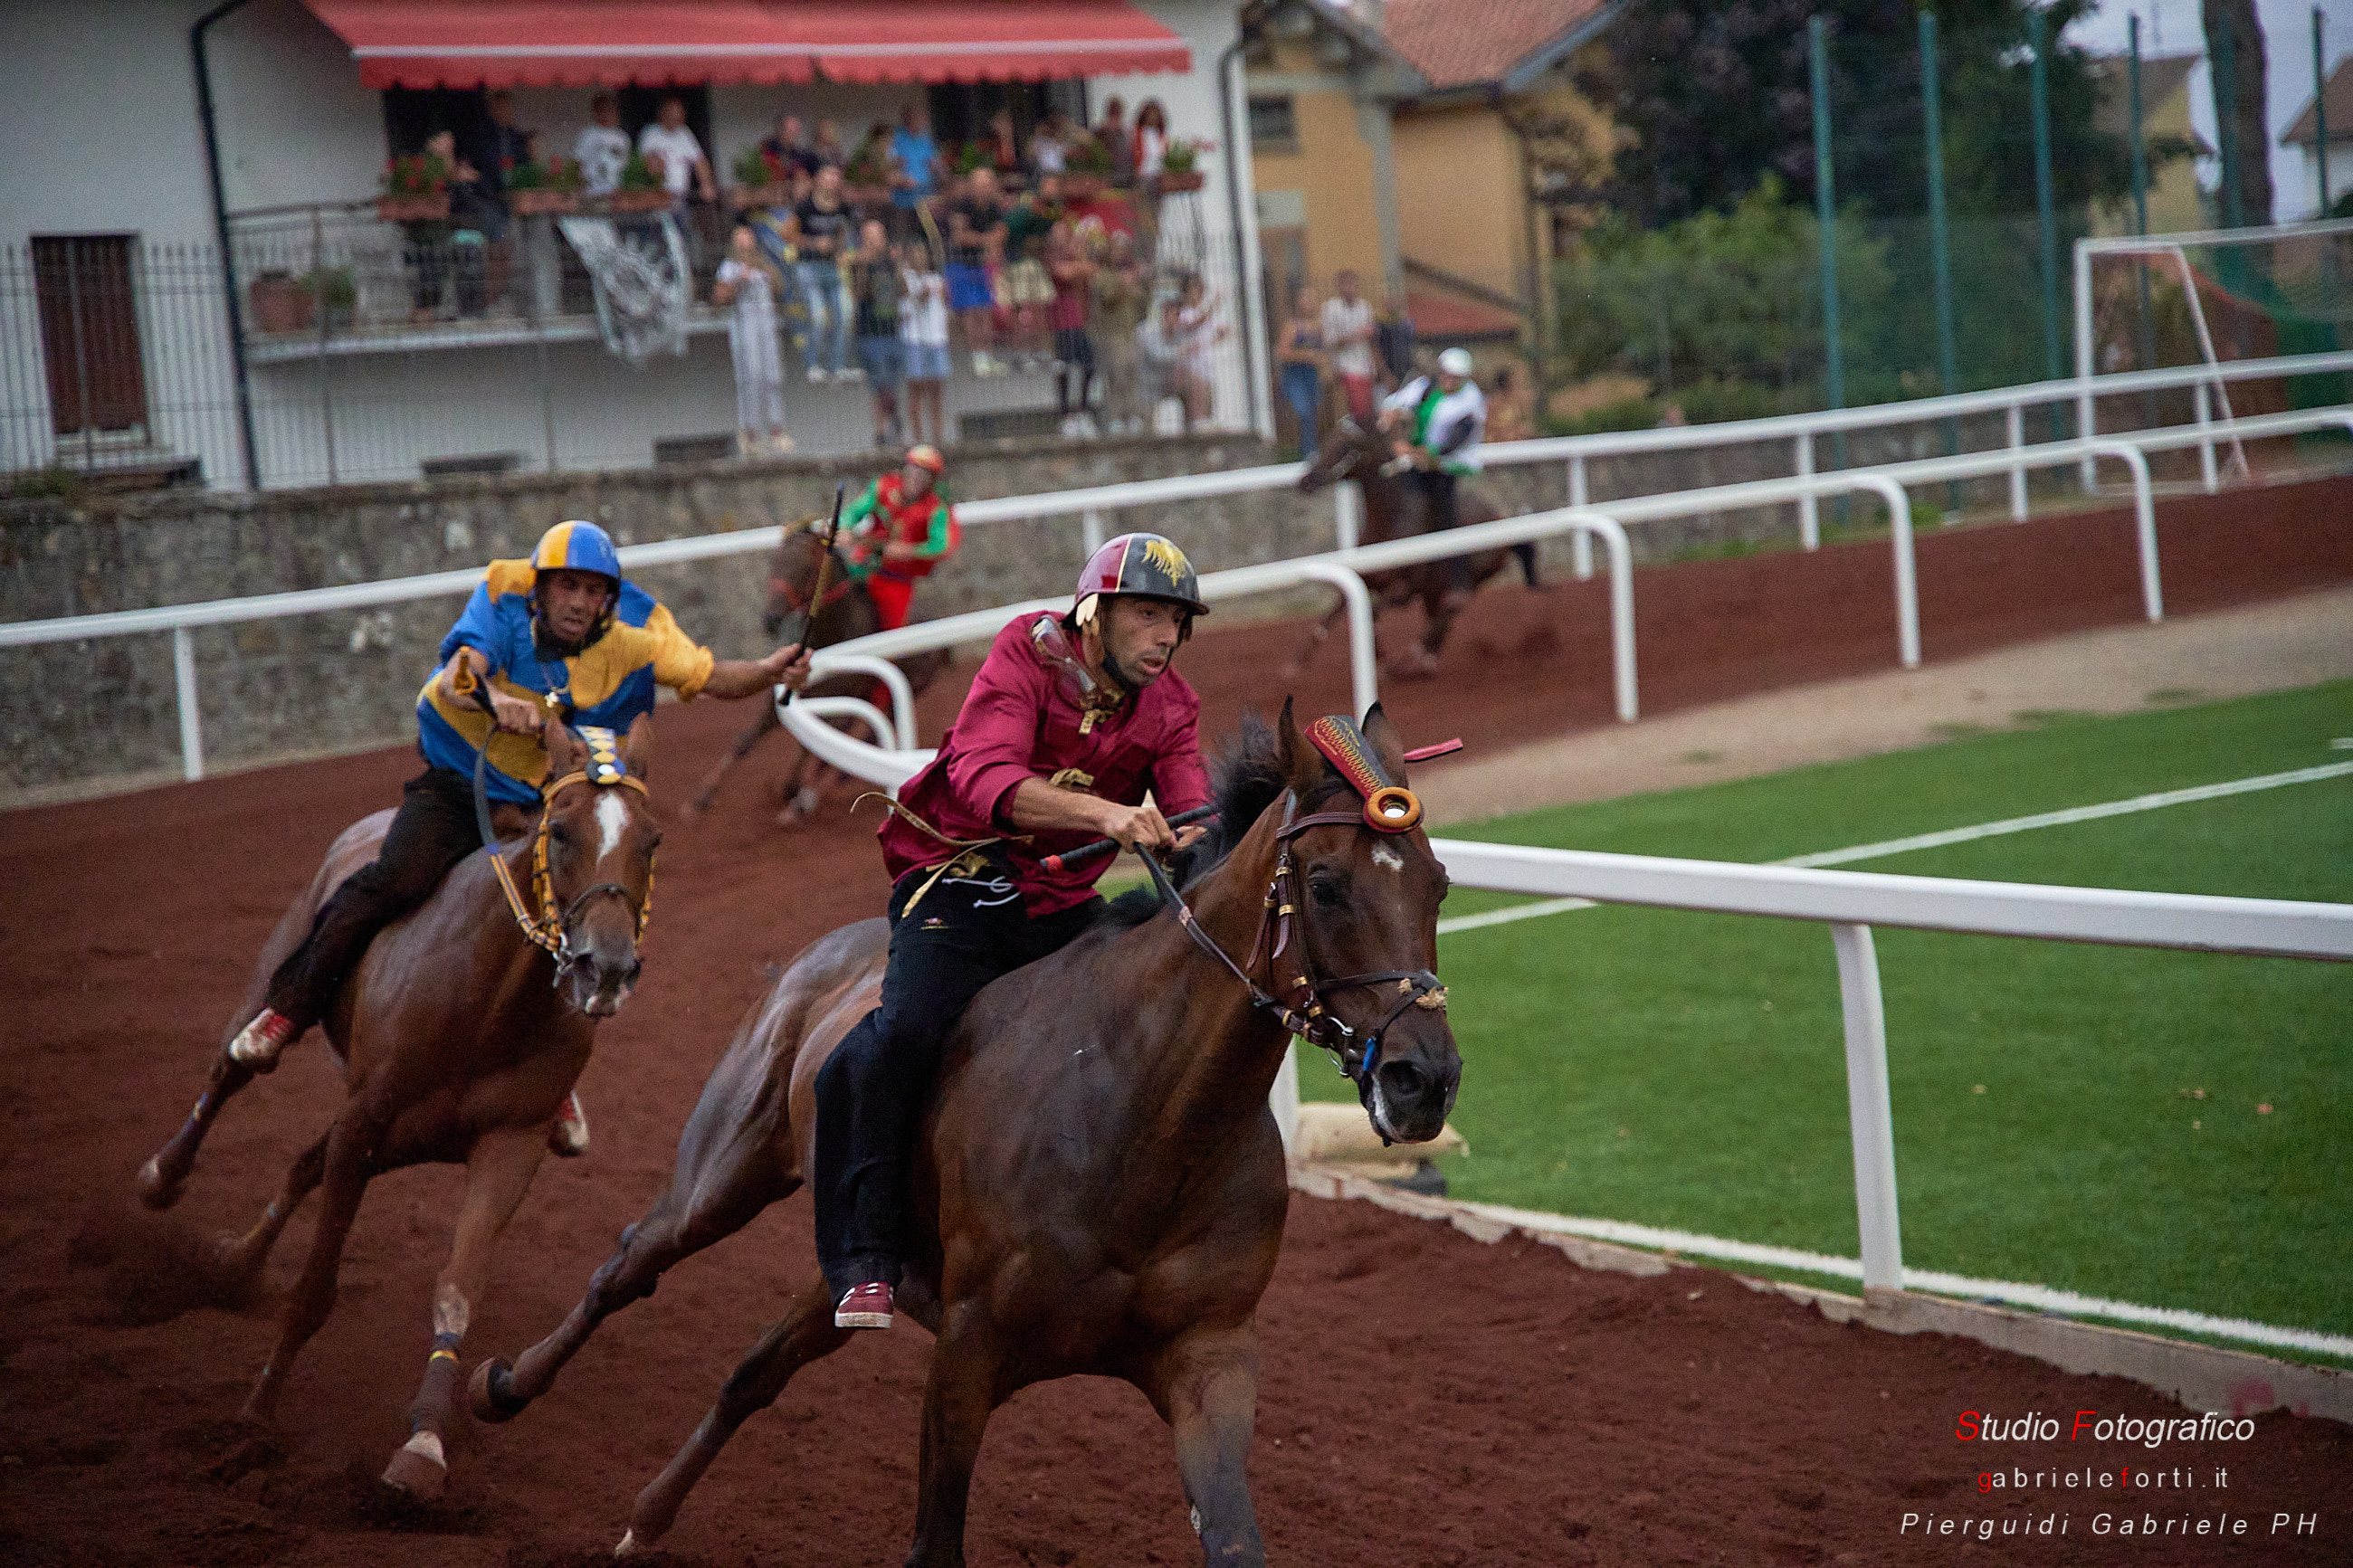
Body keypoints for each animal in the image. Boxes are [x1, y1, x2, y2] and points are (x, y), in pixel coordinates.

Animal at [135, 719, 663, 1504]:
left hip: (407, 1137)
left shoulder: (509, 1141)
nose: (608, 968)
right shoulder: (367, 1117)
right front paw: (254, 1419)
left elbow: (457, 1291)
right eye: (562, 830)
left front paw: (423, 1445)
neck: (489, 999)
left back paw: (232, 1262)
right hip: (285, 981)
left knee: (304, 1162)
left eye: (651, 840)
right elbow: (315, 1288)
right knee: (232, 1069)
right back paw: (165, 1173)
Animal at [468, 709, 1459, 1568]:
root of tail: (821, 953)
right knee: (630, 1261)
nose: (1426, 1079)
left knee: (757, 1366)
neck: (1148, 1121)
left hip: (852, 1252)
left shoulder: (1209, 1353)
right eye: (1325, 884)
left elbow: (1235, 1537)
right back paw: (501, 1387)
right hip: (727, 1169)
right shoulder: (969, 1344)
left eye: (1437, 883)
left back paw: (646, 1516)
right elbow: (934, 1539)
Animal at [687, 517, 955, 832]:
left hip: (908, 687)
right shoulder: (784, 695)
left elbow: (819, 749)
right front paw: (701, 797)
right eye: (774, 562)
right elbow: (747, 741)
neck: (830, 639)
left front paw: (797, 801)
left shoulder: (839, 701)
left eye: (804, 569)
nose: (770, 620)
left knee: (869, 732)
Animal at [1289, 415, 1543, 681]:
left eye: (1346, 446)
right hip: (1434, 590)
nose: (1306, 481)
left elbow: (1373, 615)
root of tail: (1502, 519)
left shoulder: (1404, 590)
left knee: (1447, 615)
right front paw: (1294, 665)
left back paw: (1416, 658)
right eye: (1326, 440)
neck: (1391, 520)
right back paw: (1424, 659)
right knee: (1438, 618)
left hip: (1470, 581)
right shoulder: (1364, 579)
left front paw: (1383, 662)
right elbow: (1326, 621)